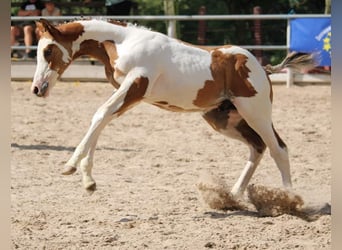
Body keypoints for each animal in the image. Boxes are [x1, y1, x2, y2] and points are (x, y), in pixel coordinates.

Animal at [31, 18, 316, 200]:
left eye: (48, 51)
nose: (37, 89)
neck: (123, 42)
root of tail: (262, 68)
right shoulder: (129, 94)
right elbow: (102, 119)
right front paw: (88, 181)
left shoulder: (135, 86)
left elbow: (100, 114)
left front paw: (71, 166)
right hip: (224, 118)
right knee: (257, 147)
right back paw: (233, 196)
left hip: (256, 112)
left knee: (278, 148)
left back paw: (291, 200)